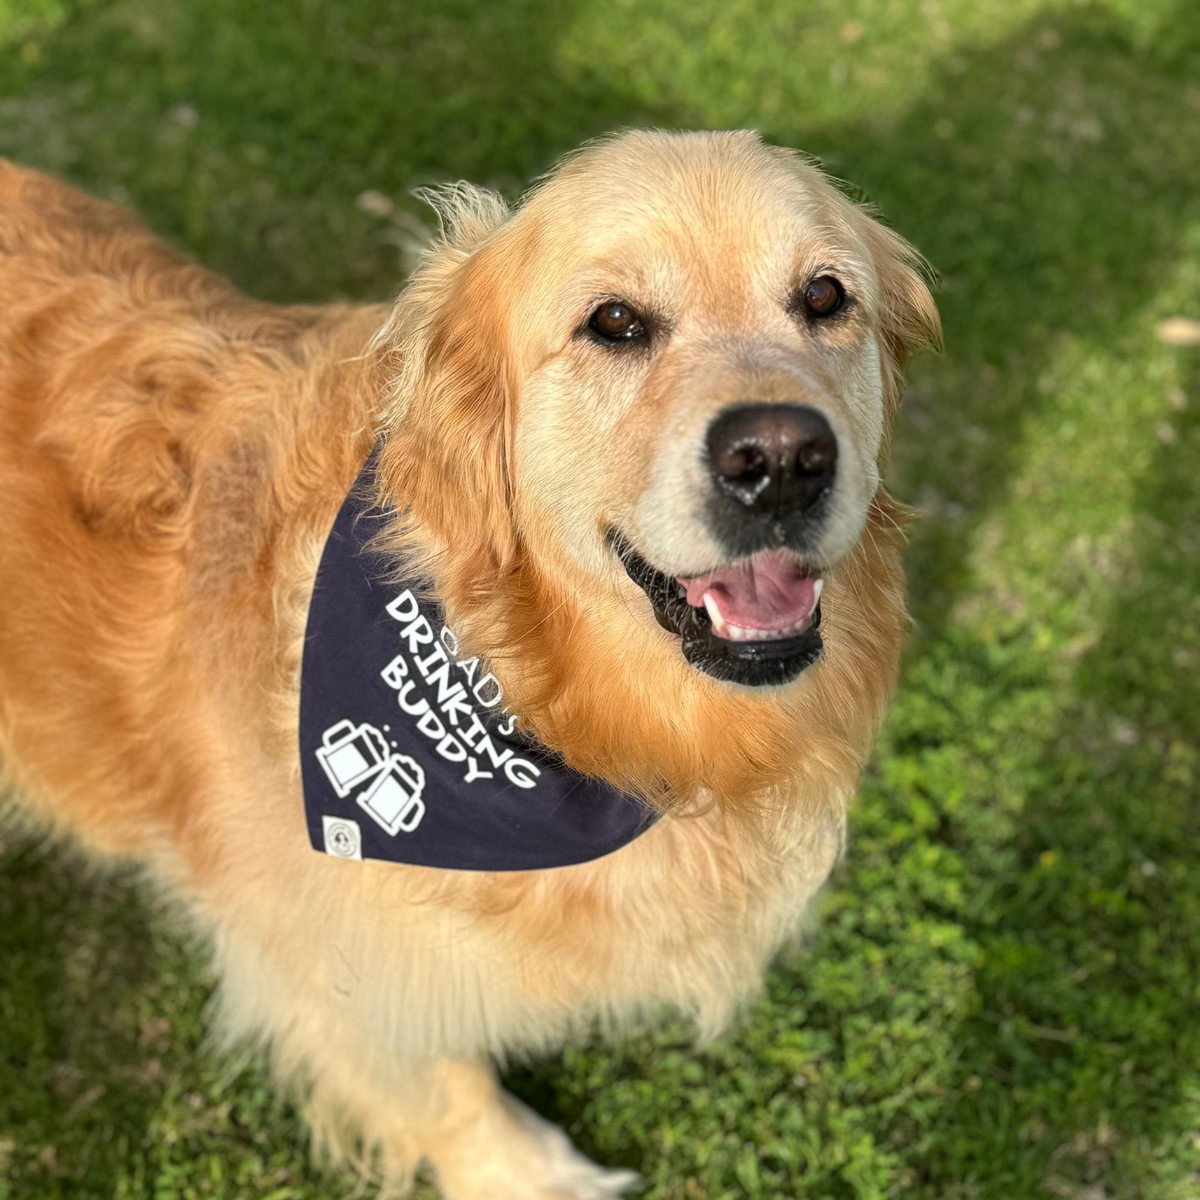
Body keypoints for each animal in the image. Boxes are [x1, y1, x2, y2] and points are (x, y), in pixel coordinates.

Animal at [0, 131, 936, 1200]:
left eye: (825, 297)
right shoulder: (335, 951)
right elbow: (443, 1080)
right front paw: (533, 1172)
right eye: (614, 321)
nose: (781, 460)